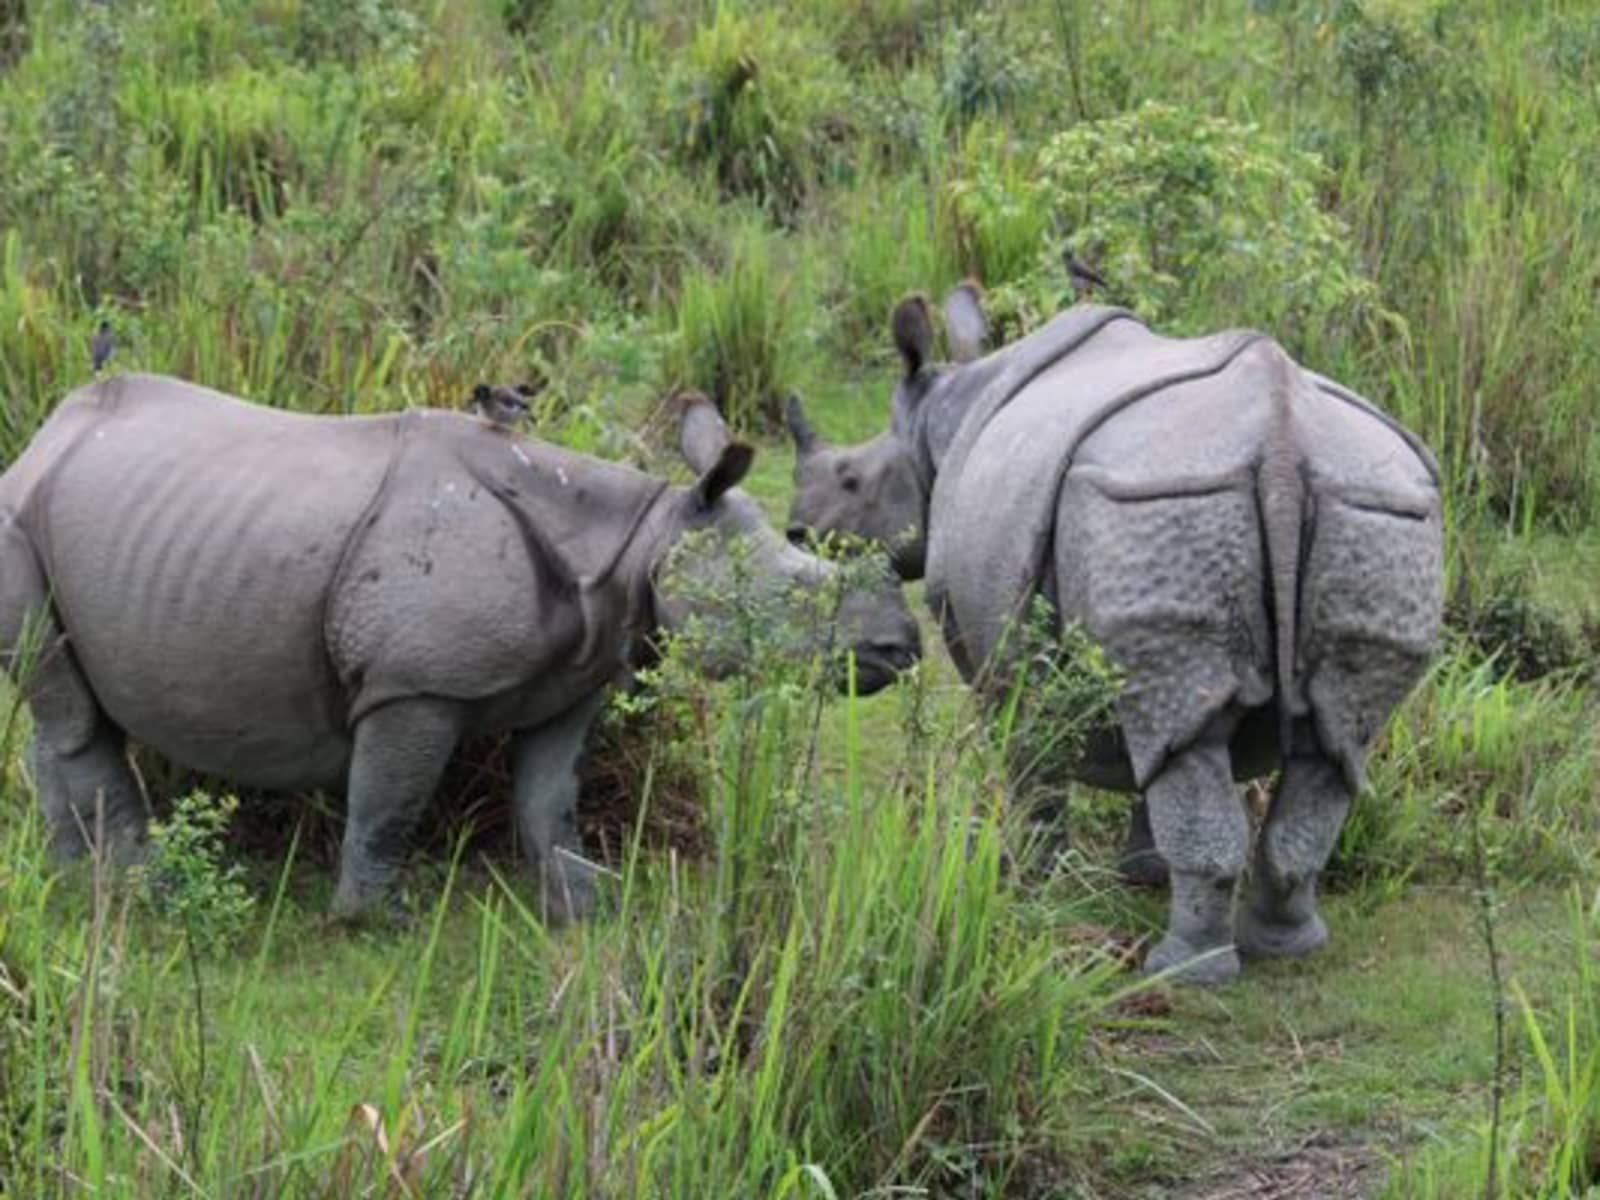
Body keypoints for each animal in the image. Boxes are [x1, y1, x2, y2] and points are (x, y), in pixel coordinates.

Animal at [0, 375, 920, 922]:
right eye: (791, 596)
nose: (900, 646)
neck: (642, 540)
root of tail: (45, 435)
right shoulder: (414, 685)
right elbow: (390, 800)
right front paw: (376, 921)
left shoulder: (582, 671)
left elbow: (549, 797)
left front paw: (589, 902)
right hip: (16, 518)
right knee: (71, 709)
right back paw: (141, 891)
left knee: (62, 707)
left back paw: (70, 883)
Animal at [786, 289, 1443, 982]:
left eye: (851, 479)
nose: (797, 531)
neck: (937, 420)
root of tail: (1284, 441)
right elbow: (1149, 752)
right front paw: (1142, 873)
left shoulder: (997, 648)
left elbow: (1032, 755)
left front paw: (1031, 880)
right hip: (1369, 511)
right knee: (1321, 742)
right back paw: (1286, 946)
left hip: (1162, 500)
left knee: (1195, 736)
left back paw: (1180, 971)